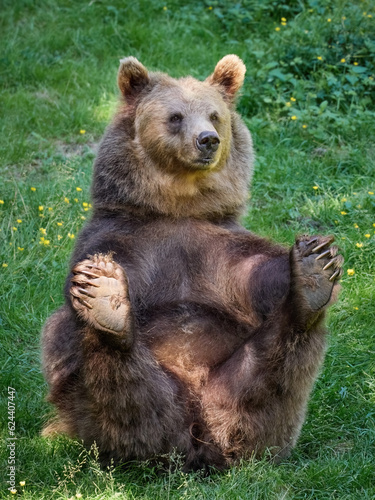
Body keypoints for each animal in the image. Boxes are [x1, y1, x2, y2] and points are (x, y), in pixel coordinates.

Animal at [41, 55, 344, 472]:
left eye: (214, 115)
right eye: (175, 116)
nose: (207, 139)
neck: (179, 208)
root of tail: (194, 439)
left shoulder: (219, 248)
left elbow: (260, 274)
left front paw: (315, 262)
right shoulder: (129, 239)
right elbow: (99, 275)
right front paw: (104, 285)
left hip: (234, 386)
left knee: (272, 374)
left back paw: (308, 299)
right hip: (105, 397)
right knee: (100, 374)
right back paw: (110, 321)